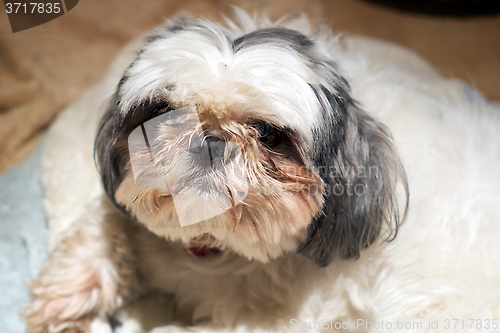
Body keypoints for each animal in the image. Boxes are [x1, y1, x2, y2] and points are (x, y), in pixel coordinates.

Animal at [23, 8, 500, 332]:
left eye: (269, 134)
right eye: (163, 113)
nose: (210, 139)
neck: (213, 251)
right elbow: (108, 224)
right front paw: (65, 296)